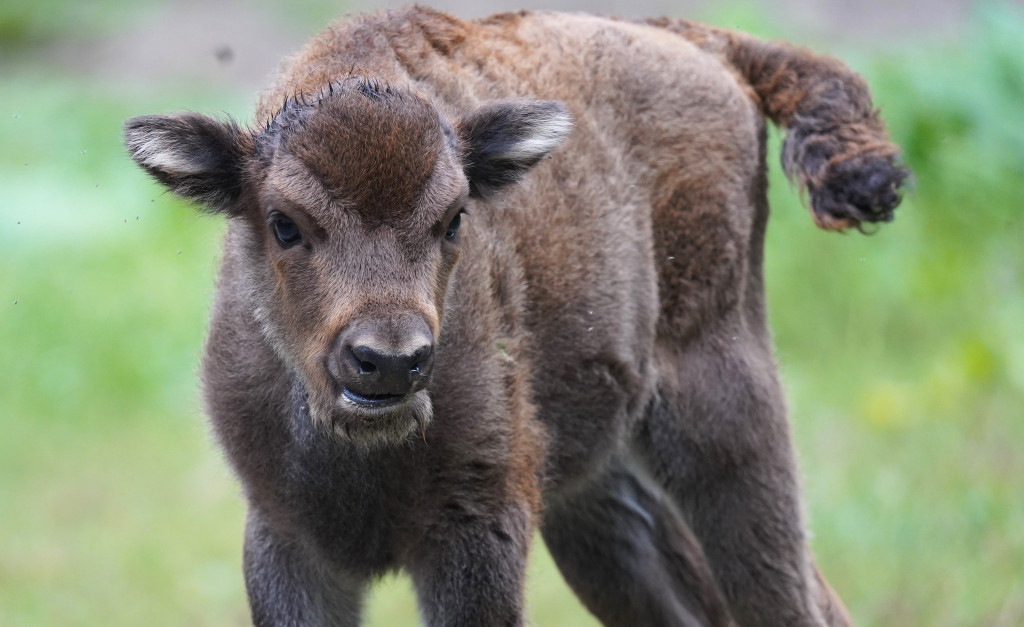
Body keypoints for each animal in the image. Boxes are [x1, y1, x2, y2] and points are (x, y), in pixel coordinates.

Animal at [125, 6, 905, 627]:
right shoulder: (287, 540)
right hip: (599, 498)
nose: (390, 360)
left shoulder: (478, 527)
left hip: (724, 414)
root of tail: (699, 42)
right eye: (283, 223)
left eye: (454, 217)